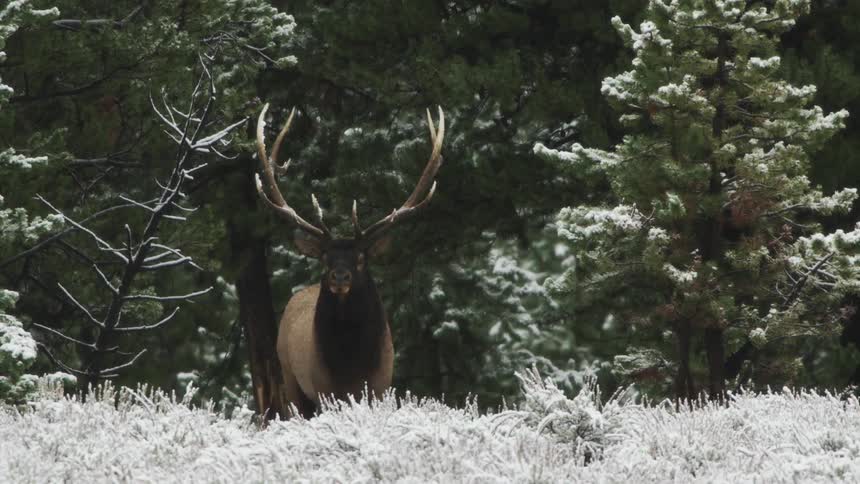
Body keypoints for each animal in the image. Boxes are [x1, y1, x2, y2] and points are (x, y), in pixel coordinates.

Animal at [254, 104, 445, 418]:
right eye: (325, 258)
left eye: (360, 258)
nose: (339, 277)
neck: (351, 365)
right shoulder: (323, 389)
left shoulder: (380, 387)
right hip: (291, 380)